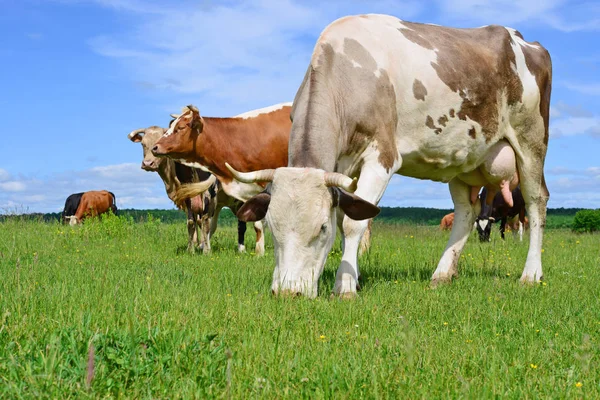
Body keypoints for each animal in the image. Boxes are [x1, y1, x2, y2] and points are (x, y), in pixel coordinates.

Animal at [227, 14, 552, 296]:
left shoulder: (380, 158)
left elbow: (353, 223)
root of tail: (522, 38)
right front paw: (353, 277)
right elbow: (349, 217)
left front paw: (345, 286)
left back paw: (531, 274)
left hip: (531, 141)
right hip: (463, 157)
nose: (287, 292)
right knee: (466, 212)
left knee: (536, 202)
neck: (348, 73)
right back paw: (442, 274)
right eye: (272, 226)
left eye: (321, 228)